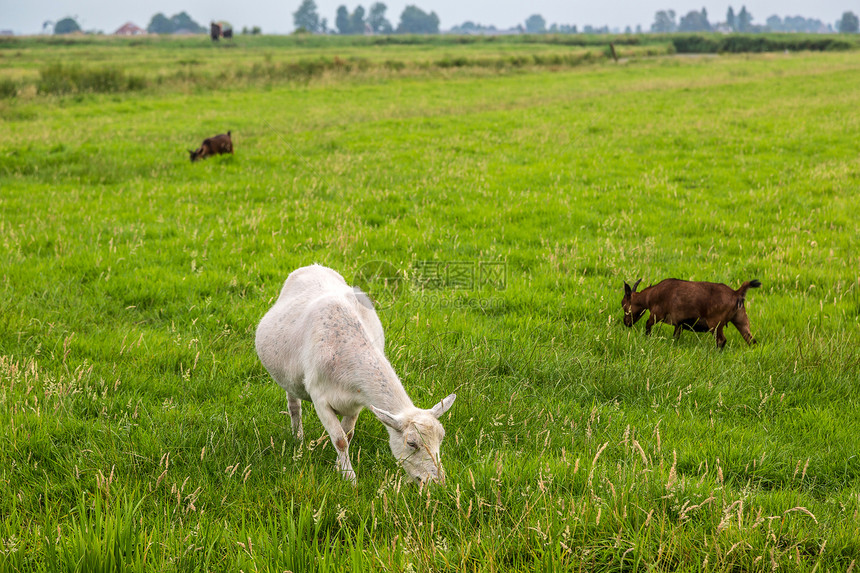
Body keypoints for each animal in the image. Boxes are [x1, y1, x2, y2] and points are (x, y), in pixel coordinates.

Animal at [255, 264, 456, 482]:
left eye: (441, 438)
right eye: (412, 443)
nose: (438, 481)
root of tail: (313, 265)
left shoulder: (356, 402)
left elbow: (348, 435)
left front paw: (339, 468)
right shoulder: (319, 398)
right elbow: (340, 439)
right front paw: (350, 479)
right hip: (289, 378)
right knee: (294, 407)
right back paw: (297, 438)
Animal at [620, 278, 764, 348]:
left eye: (623, 304)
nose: (626, 323)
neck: (651, 295)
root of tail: (736, 293)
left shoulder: (656, 314)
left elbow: (647, 325)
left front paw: (647, 339)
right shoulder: (679, 323)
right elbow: (675, 336)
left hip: (715, 324)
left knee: (721, 340)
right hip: (740, 319)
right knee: (751, 339)